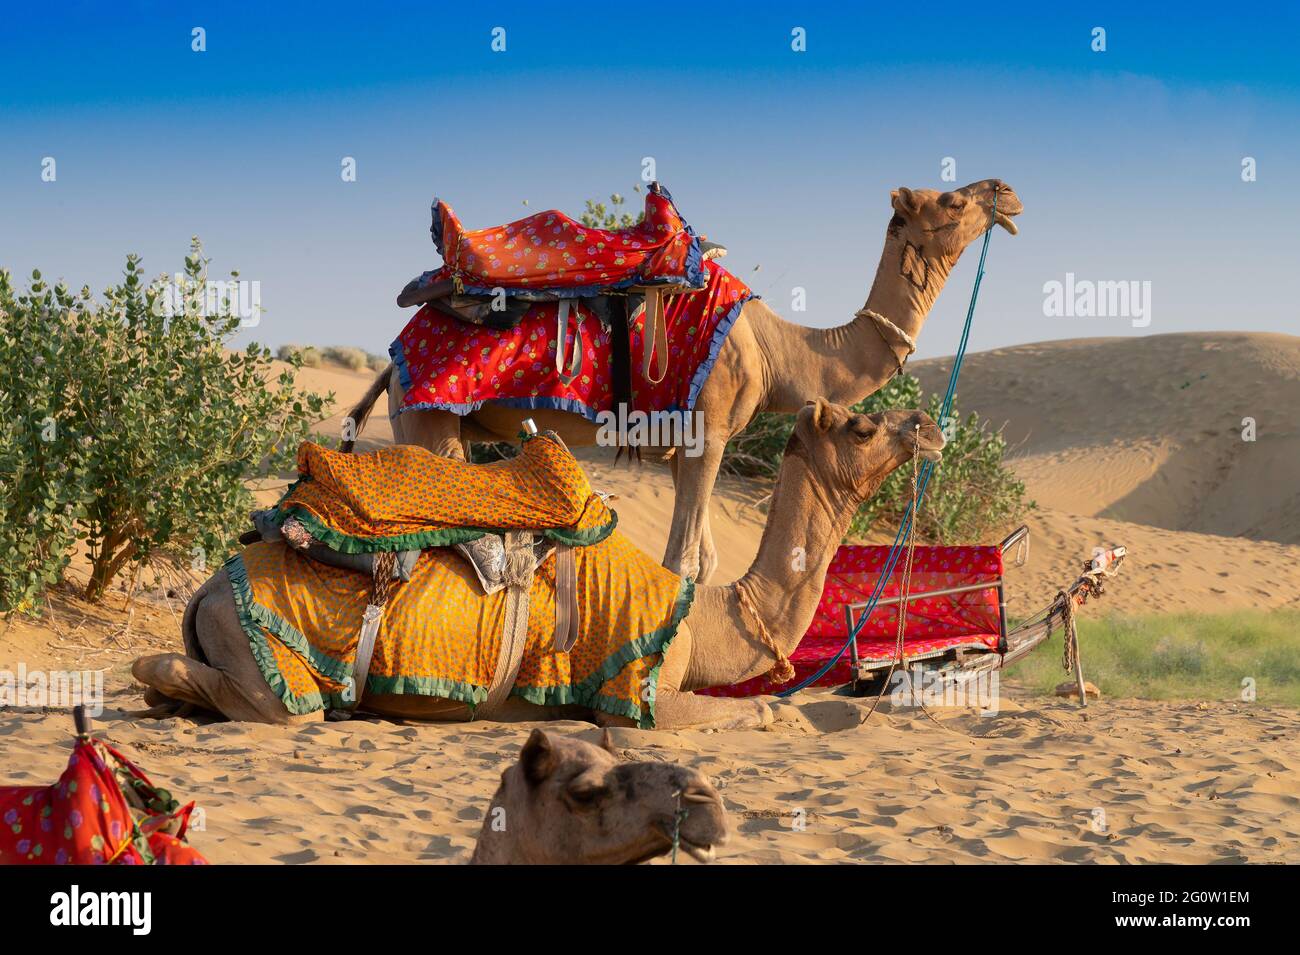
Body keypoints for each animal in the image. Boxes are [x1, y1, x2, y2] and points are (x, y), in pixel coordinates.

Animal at [131, 400, 946, 727]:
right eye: (864, 424)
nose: (928, 425)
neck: (704, 613)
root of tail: (206, 589)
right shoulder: (636, 691)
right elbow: (764, 714)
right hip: (270, 660)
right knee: (240, 692)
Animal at [345, 178, 1024, 582]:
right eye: (953, 201)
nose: (1007, 191)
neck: (777, 351)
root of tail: (394, 355)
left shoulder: (678, 443)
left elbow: (703, 558)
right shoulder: (711, 430)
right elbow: (683, 562)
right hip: (429, 417)